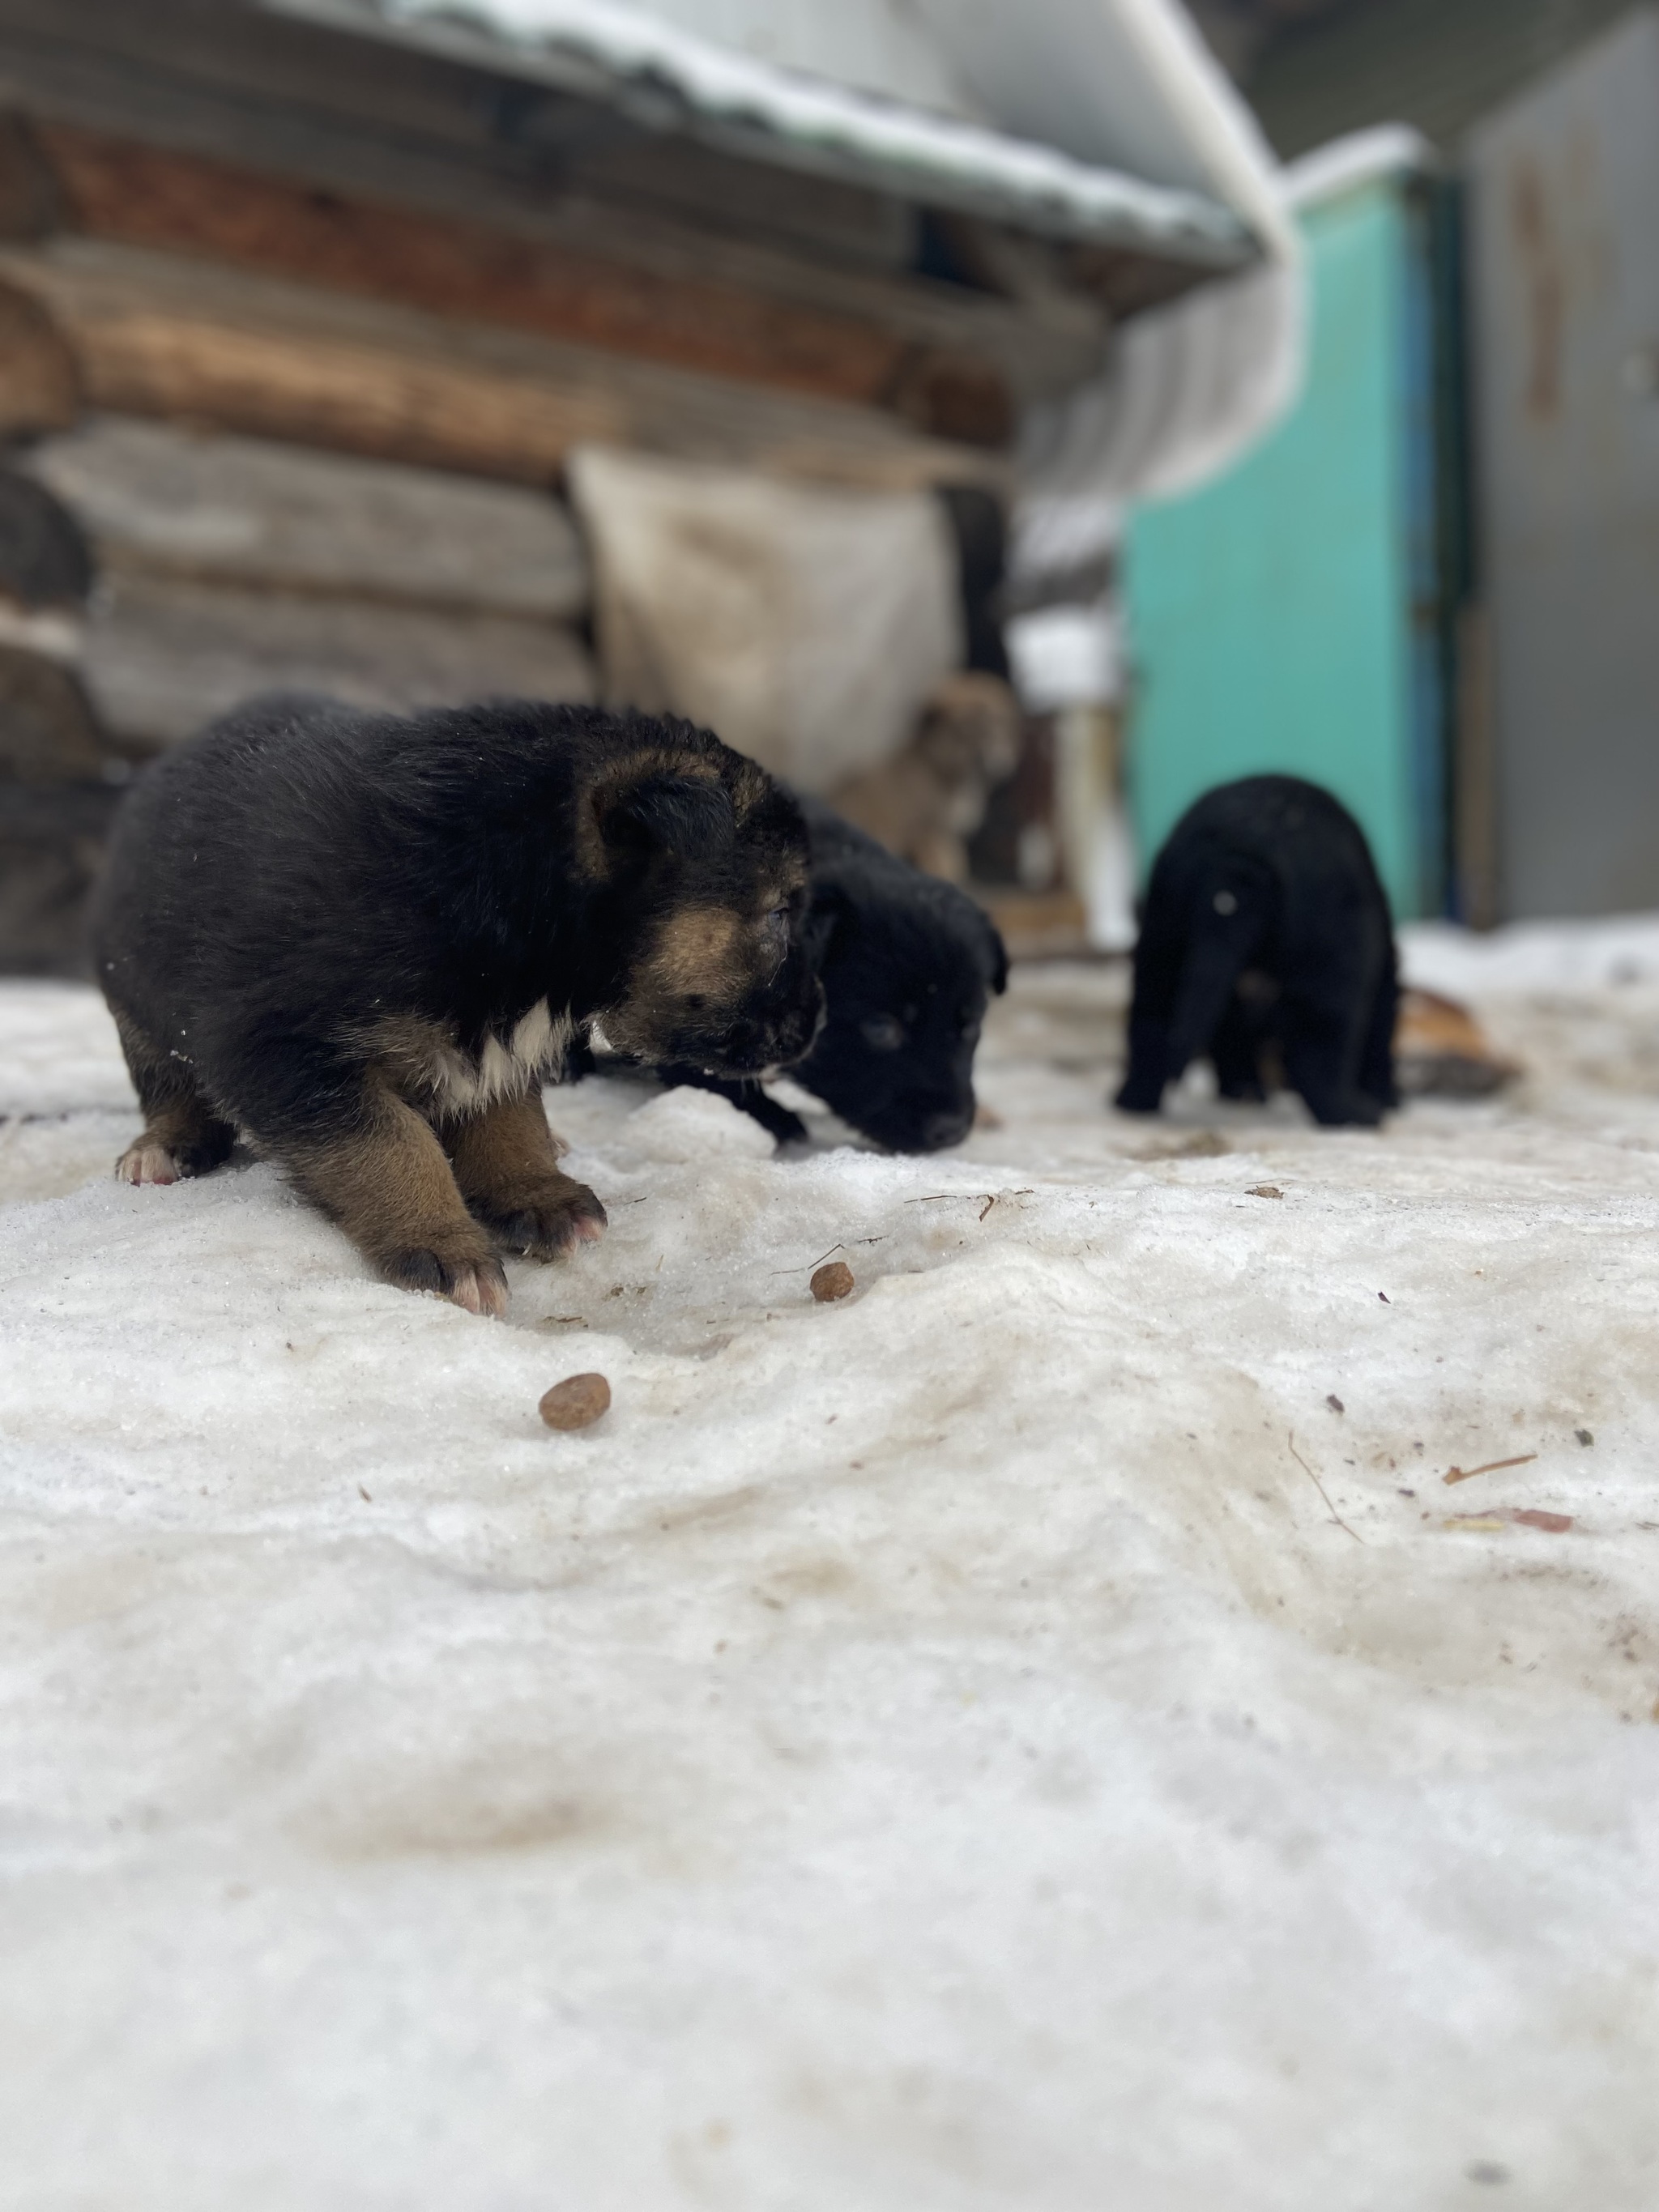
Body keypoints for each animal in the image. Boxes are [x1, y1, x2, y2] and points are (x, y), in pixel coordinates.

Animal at [94, 698, 822, 1300]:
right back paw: (163, 1146)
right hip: (137, 1007)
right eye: (780, 913)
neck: (497, 879)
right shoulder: (281, 1047)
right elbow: (390, 1142)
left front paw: (533, 1190)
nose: (814, 1028)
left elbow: (505, 1114)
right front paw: (440, 1241)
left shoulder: (498, 1039)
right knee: (170, 1087)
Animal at [1119, 774, 1406, 1123]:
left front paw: (1243, 1090)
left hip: (1163, 938)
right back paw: (1355, 1113)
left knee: (1151, 1022)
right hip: (1333, 957)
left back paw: (1134, 1102)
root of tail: (1241, 851)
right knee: (1319, 1048)